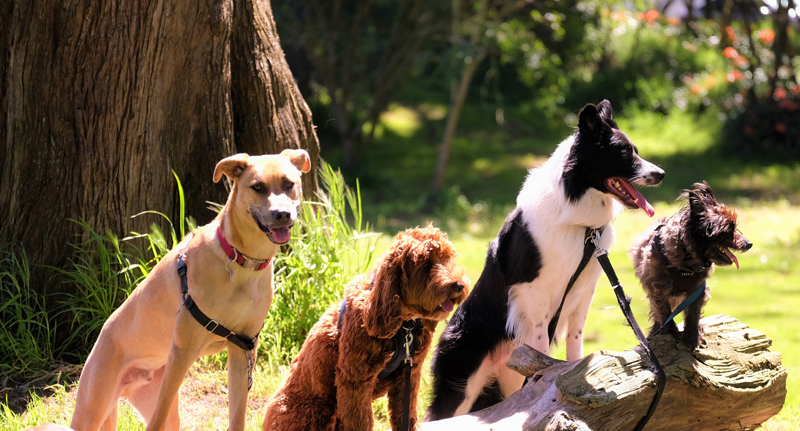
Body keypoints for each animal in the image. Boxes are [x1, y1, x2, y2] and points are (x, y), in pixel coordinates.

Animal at [68, 149, 310, 431]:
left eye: (289, 183)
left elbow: (237, 415)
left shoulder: (243, 349)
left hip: (160, 400)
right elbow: (156, 422)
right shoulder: (183, 352)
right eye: (258, 187)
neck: (241, 261)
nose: (282, 214)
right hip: (93, 408)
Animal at [262, 226, 472, 431]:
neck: (403, 325)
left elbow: (406, 415)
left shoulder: (409, 374)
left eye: (448, 259)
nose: (459, 285)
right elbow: (360, 422)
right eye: (427, 265)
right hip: (313, 411)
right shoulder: (355, 380)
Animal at [428, 100, 664, 418]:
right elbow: (540, 342)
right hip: (463, 384)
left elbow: (576, 337)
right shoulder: (532, 292)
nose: (661, 174)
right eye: (625, 152)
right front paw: (541, 369)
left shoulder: (584, 289)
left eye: (635, 150)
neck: (579, 223)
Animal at [632, 181, 752, 350]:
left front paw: (692, 334)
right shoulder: (657, 287)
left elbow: (693, 312)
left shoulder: (698, 289)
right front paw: (669, 330)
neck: (687, 264)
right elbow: (663, 310)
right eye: (728, 229)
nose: (749, 243)